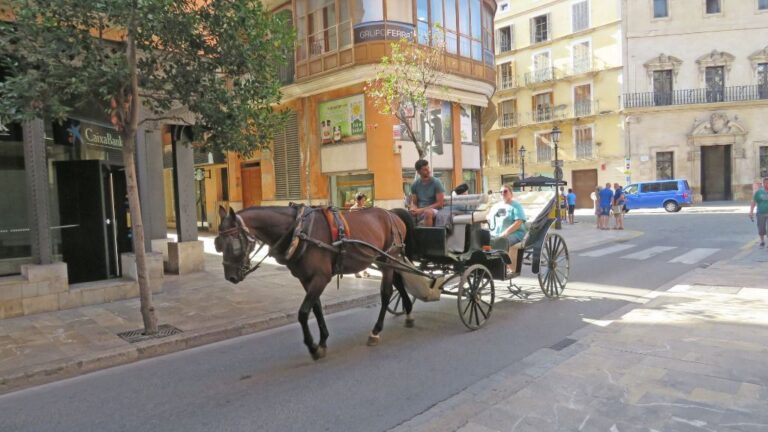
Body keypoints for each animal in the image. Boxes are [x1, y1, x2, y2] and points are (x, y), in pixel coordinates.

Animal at [215, 205, 416, 360]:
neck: (299, 231)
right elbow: (316, 308)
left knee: (386, 293)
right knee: (398, 283)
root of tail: (392, 214)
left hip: (389, 258)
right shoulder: (306, 279)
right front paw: (323, 341)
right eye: (219, 243)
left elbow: (303, 312)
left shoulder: (321, 277)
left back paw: (376, 331)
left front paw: (312, 346)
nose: (230, 276)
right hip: (383, 260)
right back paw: (408, 312)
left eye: (233, 242)